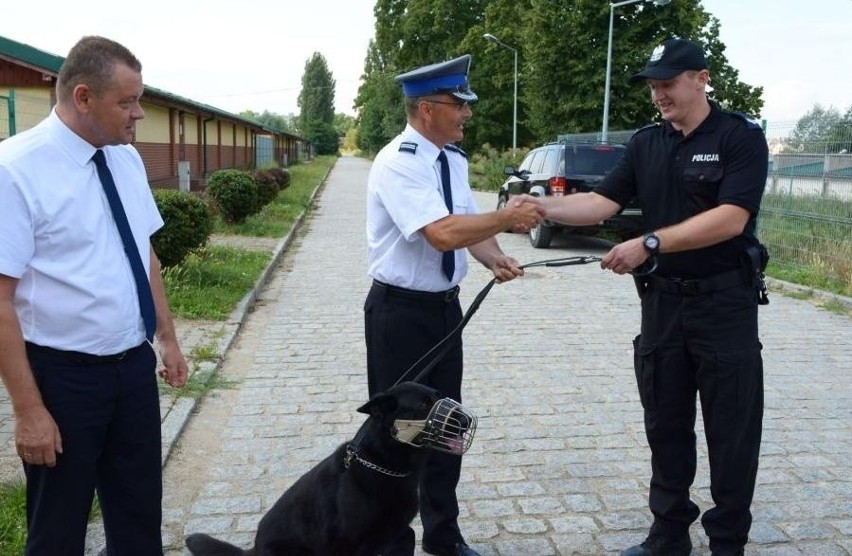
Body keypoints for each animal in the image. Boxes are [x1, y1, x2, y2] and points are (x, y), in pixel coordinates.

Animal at [185, 382, 472, 556]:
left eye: (438, 397)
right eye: (424, 405)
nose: (467, 420)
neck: (382, 465)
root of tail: (253, 550)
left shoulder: (400, 534)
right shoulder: (351, 544)